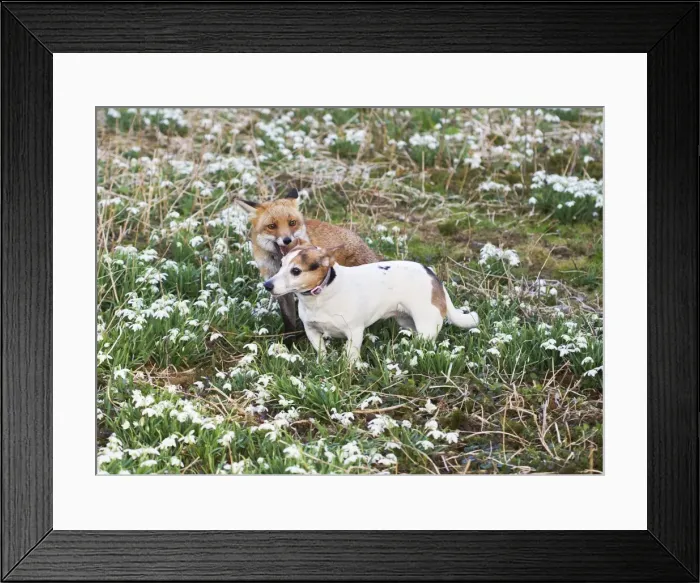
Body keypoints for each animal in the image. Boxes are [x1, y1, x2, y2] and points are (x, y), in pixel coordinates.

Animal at [236, 188, 378, 341]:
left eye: (292, 222)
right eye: (272, 226)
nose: (287, 240)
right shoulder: (279, 289)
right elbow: (289, 320)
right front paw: (289, 342)